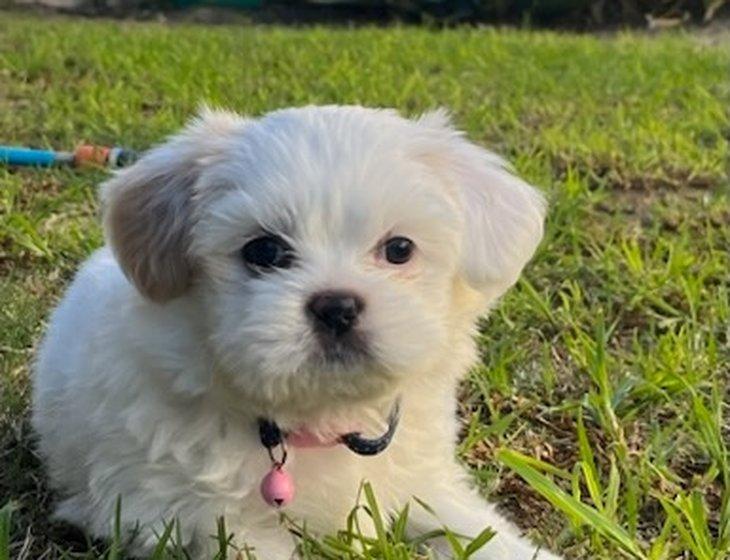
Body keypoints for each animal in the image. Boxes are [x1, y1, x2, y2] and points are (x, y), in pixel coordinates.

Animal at [32, 106, 556, 560]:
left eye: (399, 249)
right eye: (264, 251)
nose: (337, 307)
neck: (317, 419)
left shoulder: (423, 480)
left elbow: (473, 527)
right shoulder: (180, 509)